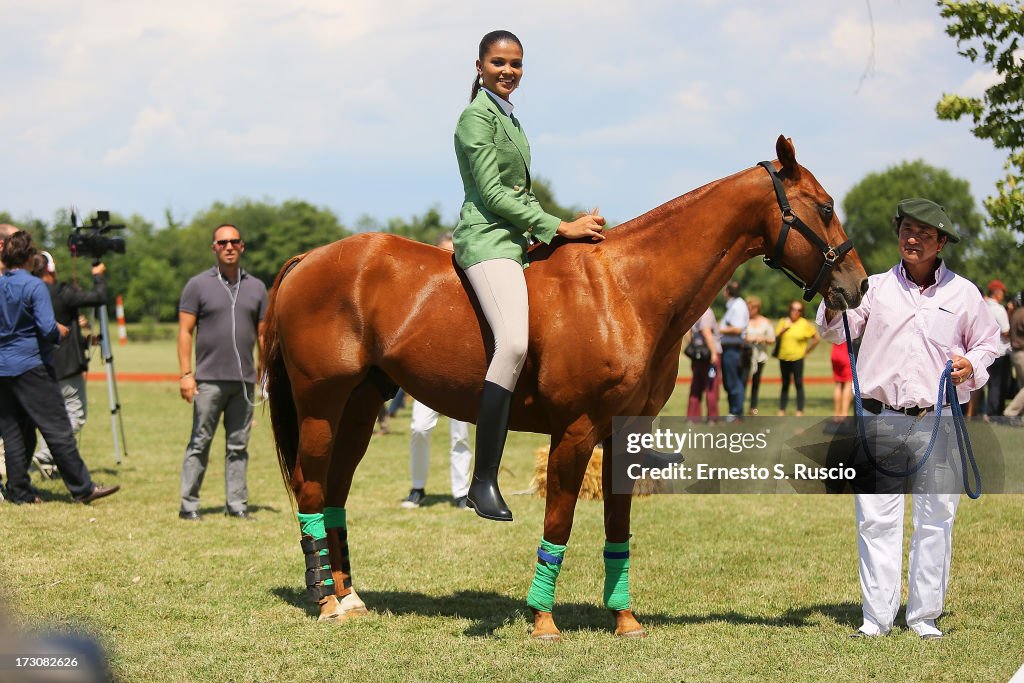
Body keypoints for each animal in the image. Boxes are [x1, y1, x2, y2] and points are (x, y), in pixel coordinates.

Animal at [262, 135, 864, 643]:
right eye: (825, 207)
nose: (856, 286)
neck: (624, 289)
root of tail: (309, 258)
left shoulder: (624, 436)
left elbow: (618, 525)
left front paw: (624, 618)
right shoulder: (574, 433)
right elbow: (561, 519)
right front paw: (543, 620)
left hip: (361, 406)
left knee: (336, 490)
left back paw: (349, 596)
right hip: (321, 406)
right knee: (311, 488)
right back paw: (325, 601)